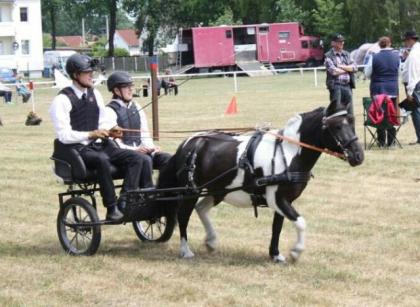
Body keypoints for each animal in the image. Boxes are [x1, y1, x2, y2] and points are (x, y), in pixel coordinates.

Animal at [158, 100, 364, 264]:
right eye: (337, 126)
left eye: (352, 122)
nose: (358, 156)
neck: (288, 152)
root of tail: (189, 142)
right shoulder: (277, 199)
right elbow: (300, 222)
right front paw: (296, 252)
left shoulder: (283, 200)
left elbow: (277, 228)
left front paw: (275, 255)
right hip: (191, 191)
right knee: (183, 216)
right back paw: (186, 250)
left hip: (218, 190)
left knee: (201, 209)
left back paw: (211, 240)